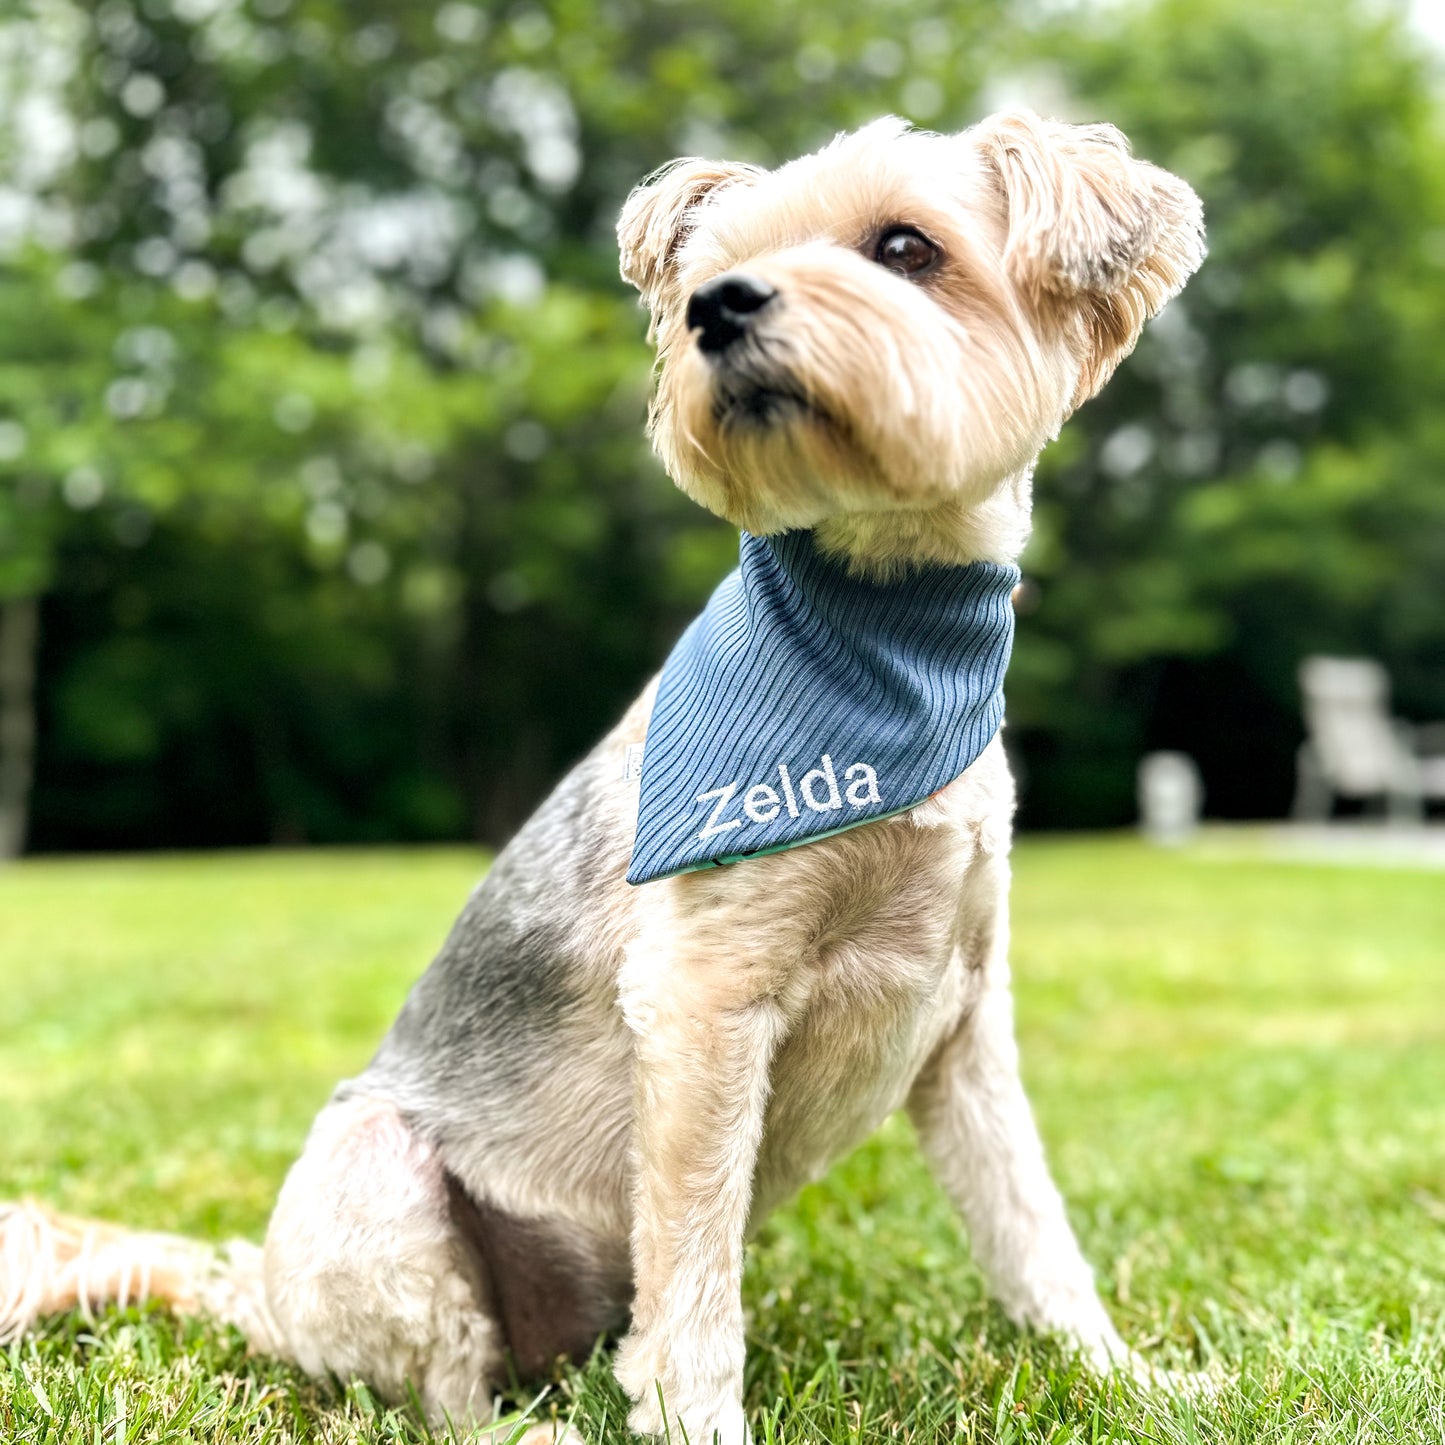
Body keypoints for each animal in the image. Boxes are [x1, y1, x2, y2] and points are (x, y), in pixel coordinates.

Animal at [2, 106, 1208, 1439]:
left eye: (906, 246)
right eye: (703, 275)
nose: (716, 309)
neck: (892, 643)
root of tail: (257, 1292)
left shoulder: (961, 1017)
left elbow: (1027, 1223)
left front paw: (1118, 1375)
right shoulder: (701, 1004)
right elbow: (691, 1277)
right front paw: (697, 1421)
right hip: (379, 1169)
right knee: (440, 1393)